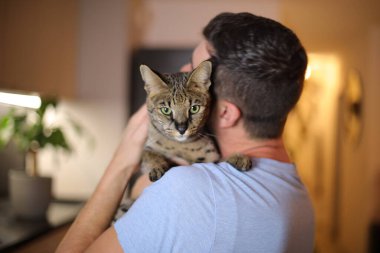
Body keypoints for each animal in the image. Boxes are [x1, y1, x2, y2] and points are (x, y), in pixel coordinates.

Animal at [111, 60, 251, 221]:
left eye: (194, 108)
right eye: (166, 110)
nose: (182, 128)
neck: (180, 146)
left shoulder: (210, 158)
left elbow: (218, 160)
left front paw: (238, 157)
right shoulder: (148, 147)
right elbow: (148, 154)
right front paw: (157, 166)